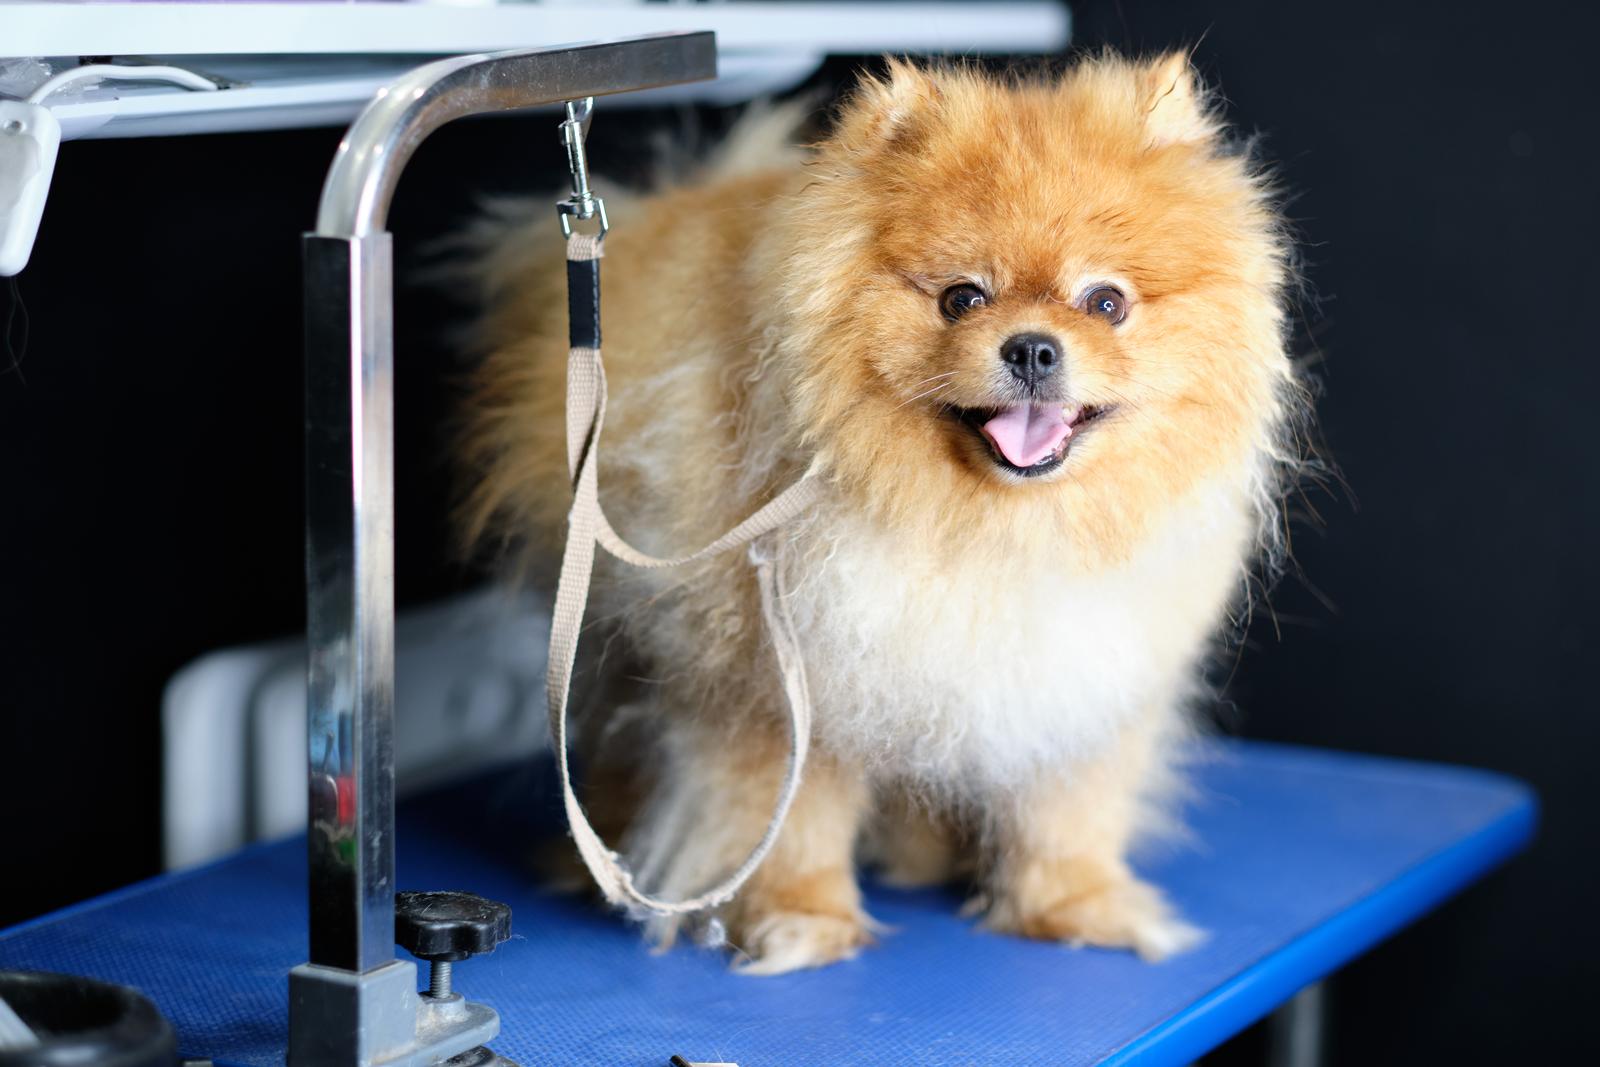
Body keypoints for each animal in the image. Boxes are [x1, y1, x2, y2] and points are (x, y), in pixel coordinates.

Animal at [457, 51, 1305, 979]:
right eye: (962, 298)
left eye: (1106, 302)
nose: (1033, 347)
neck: (989, 528)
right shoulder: (778, 689)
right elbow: (788, 821)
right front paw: (802, 921)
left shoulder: (1081, 675)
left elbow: (1067, 811)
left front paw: (1077, 906)